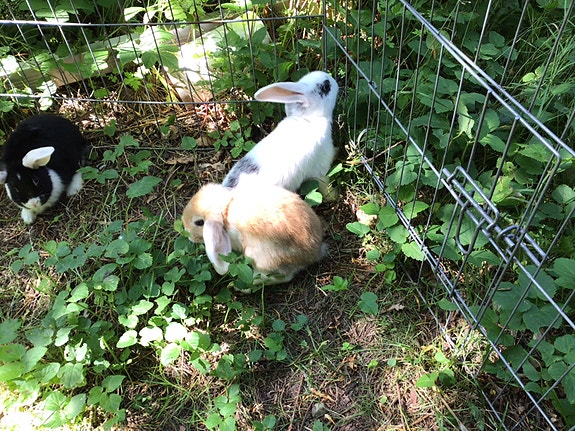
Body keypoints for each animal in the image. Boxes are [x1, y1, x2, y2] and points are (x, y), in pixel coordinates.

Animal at [181, 181, 328, 286]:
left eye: (199, 222)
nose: (188, 235)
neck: (226, 209)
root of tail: (313, 254)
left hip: (262, 259)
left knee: (280, 277)